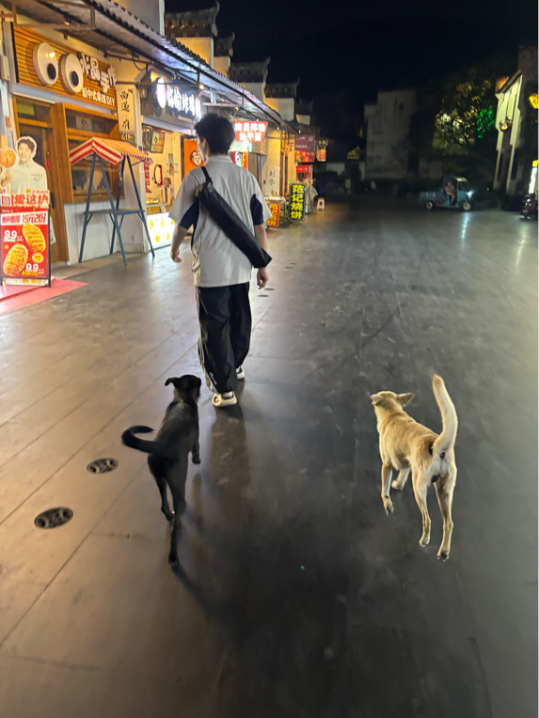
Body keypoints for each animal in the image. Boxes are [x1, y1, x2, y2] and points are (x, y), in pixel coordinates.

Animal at [121, 375, 202, 566]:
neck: (182, 400)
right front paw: (197, 460)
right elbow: (197, 450)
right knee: (175, 527)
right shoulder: (196, 439)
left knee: (164, 506)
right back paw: (173, 556)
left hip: (159, 479)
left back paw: (169, 516)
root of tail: (161, 446)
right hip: (178, 488)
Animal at [370, 375, 458, 561]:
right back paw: (444, 552)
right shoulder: (407, 463)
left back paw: (424, 540)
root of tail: (438, 447)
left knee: (427, 519)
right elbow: (402, 475)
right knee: (449, 523)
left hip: (419, 488)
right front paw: (397, 485)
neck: (394, 414)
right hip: (444, 493)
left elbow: (384, 490)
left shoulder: (386, 465)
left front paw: (388, 504)